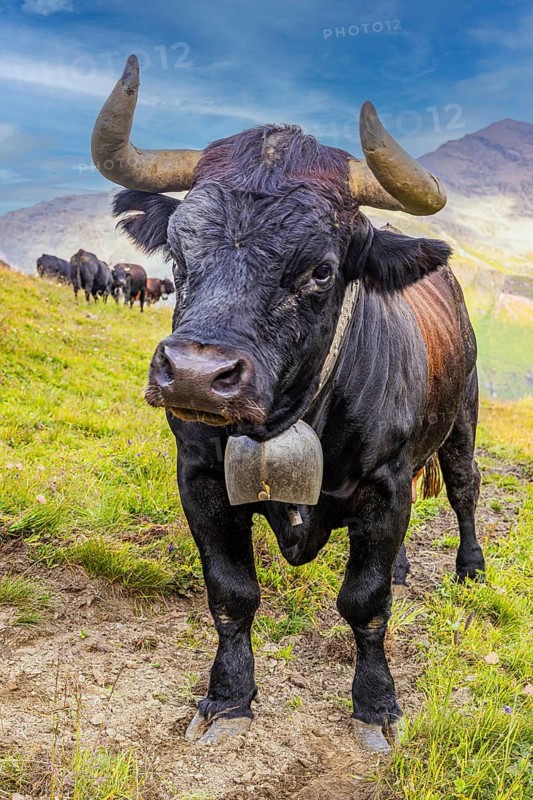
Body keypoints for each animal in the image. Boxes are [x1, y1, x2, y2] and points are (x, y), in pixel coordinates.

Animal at [91, 56, 486, 752]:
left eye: (321, 269)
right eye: (179, 253)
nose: (195, 376)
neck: (289, 420)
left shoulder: (385, 487)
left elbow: (365, 601)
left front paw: (375, 706)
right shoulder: (200, 480)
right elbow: (231, 593)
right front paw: (228, 698)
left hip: (461, 420)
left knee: (464, 489)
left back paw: (470, 568)